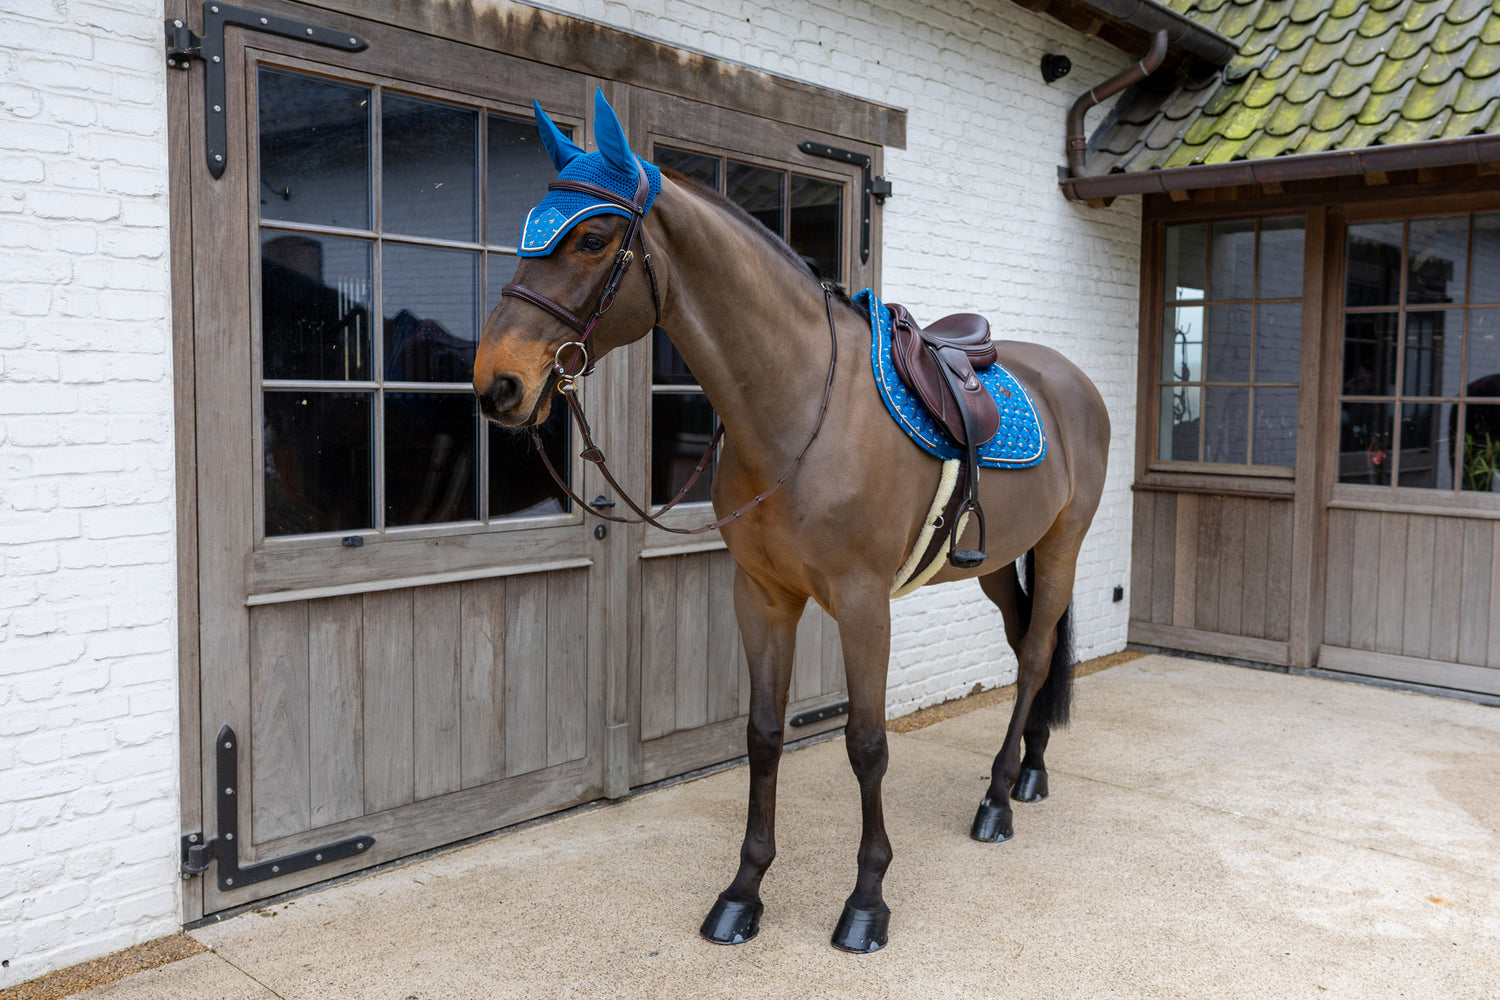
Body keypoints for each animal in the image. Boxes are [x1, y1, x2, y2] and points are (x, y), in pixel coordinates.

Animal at [473, 90, 1110, 953]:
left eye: (594, 238)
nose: (497, 385)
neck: (800, 406)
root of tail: (1070, 377)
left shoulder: (864, 605)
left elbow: (867, 744)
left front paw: (867, 901)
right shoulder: (763, 595)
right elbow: (763, 736)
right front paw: (743, 892)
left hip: (1063, 544)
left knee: (1040, 652)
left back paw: (998, 801)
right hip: (997, 563)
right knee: (1024, 651)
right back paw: (1029, 771)